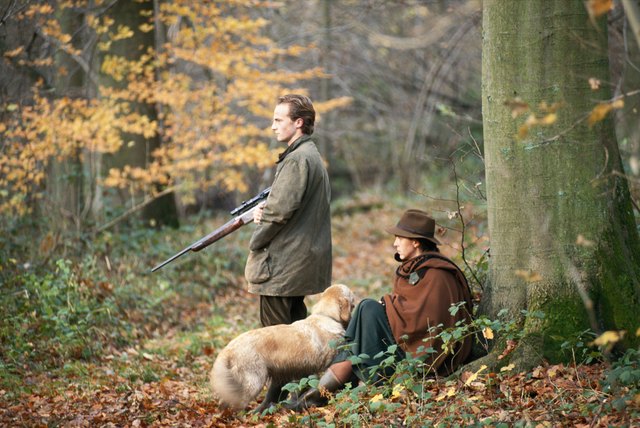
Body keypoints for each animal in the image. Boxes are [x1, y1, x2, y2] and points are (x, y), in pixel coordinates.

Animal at [212, 284, 358, 412]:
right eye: (353, 302)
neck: (327, 316)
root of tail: (228, 348)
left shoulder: (304, 370)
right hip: (253, 382)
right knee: (237, 404)